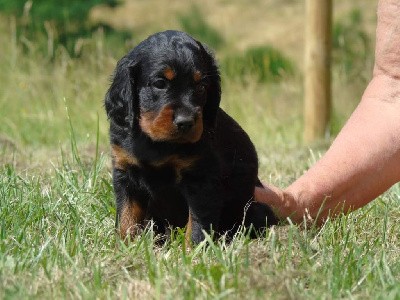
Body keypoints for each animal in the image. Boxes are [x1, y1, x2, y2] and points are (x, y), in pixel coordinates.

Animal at [104, 29, 276, 244]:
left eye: (202, 86)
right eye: (160, 83)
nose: (185, 122)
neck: (157, 143)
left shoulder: (201, 179)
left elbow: (197, 223)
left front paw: (193, 249)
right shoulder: (125, 172)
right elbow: (127, 217)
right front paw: (125, 246)